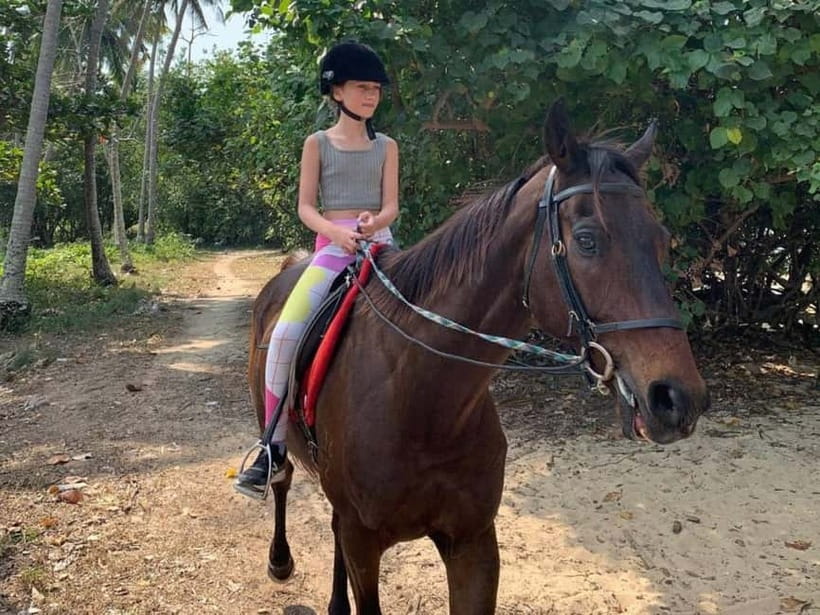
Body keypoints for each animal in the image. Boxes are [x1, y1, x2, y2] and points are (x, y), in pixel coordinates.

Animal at [246, 100, 710, 614]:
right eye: (588, 240)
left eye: (661, 240)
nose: (678, 398)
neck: (422, 398)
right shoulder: (365, 542)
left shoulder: (473, 542)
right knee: (283, 478)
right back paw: (279, 557)